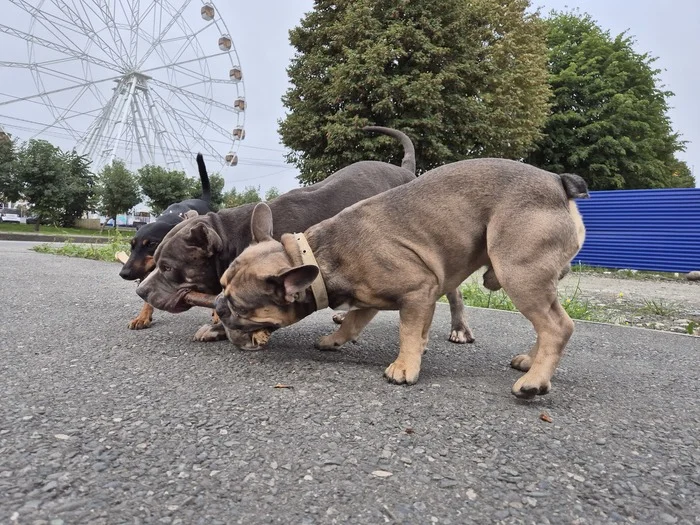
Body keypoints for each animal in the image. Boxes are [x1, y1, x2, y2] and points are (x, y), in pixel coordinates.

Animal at [135, 126, 476, 346]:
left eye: (167, 267)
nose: (140, 291)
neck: (231, 234)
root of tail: (407, 169)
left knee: (454, 290)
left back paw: (460, 328)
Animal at [216, 160, 588, 398]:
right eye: (220, 286)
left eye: (239, 306)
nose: (218, 306)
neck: (317, 257)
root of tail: (559, 182)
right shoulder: (369, 299)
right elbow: (353, 320)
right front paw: (334, 340)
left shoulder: (417, 290)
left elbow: (407, 330)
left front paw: (405, 366)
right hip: (532, 278)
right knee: (547, 322)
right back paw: (529, 362)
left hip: (519, 272)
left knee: (558, 326)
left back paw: (534, 382)